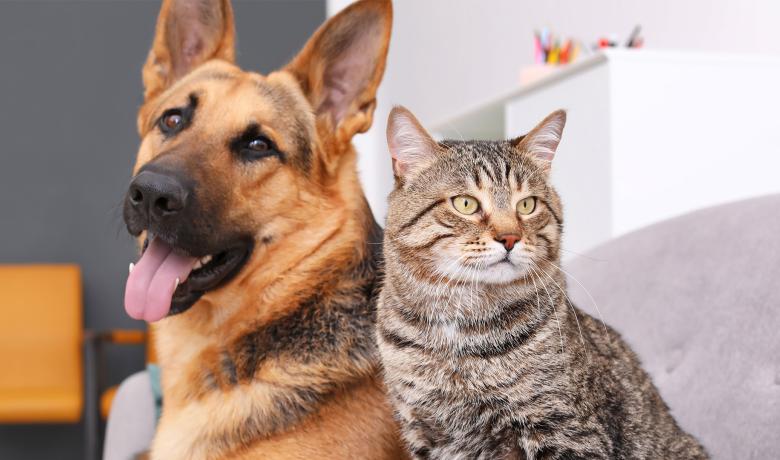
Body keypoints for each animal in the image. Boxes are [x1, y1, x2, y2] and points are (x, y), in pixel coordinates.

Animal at [374, 106, 708, 458]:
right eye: (465, 203)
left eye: (527, 204)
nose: (510, 237)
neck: (458, 328)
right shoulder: (423, 434)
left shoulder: (562, 428)